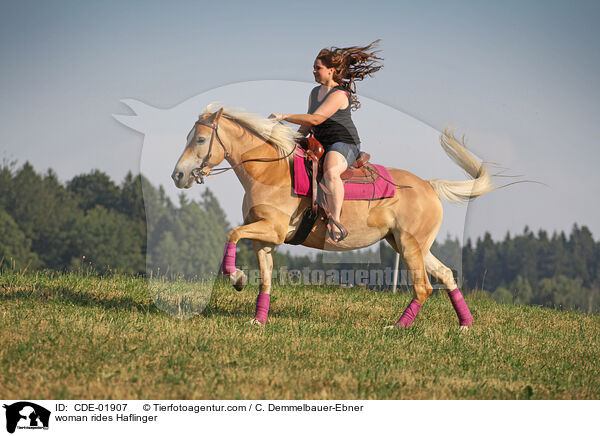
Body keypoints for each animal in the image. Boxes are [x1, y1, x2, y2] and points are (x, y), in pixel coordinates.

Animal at [172, 106, 492, 330]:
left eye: (200, 139)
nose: (178, 175)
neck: (269, 172)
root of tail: (428, 185)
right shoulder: (265, 241)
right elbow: (265, 280)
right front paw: (258, 319)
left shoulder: (272, 231)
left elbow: (232, 233)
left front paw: (236, 278)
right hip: (408, 244)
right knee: (446, 274)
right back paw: (465, 325)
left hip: (410, 246)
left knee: (423, 286)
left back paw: (397, 327)